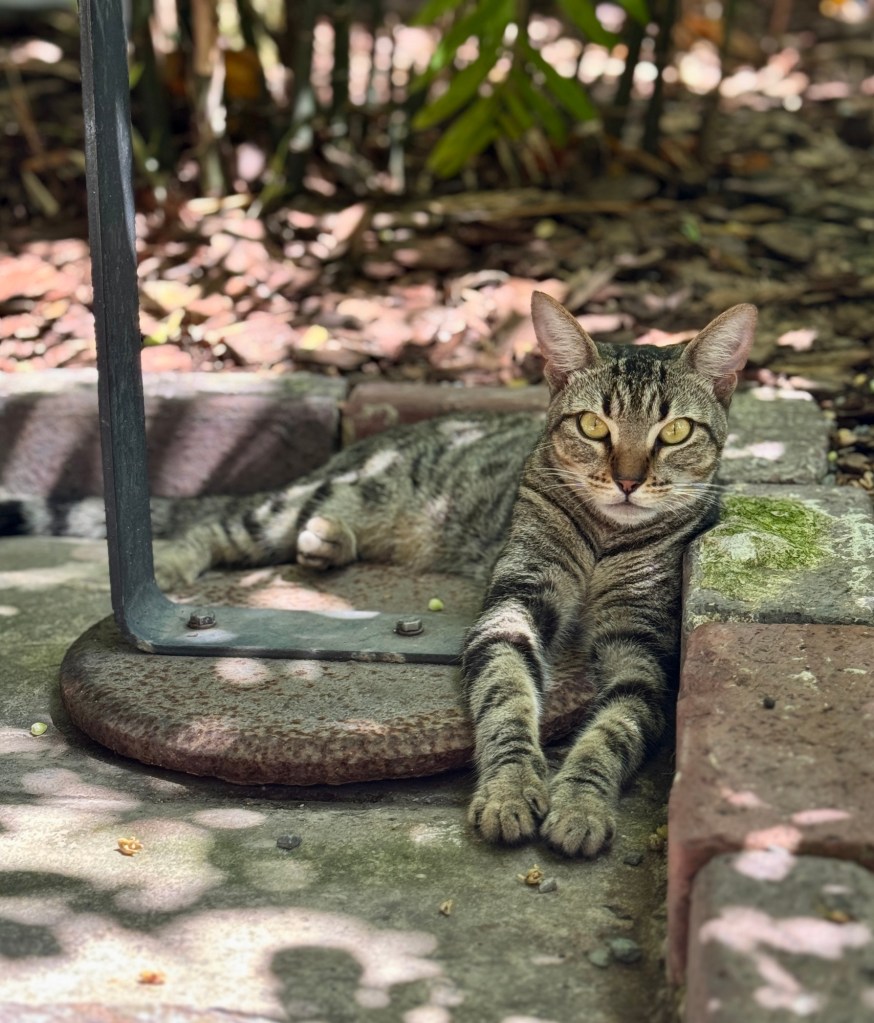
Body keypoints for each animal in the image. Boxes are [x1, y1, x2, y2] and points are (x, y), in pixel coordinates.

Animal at [0, 293, 756, 856]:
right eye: (593, 427)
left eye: (675, 433)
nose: (627, 480)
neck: (605, 538)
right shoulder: (514, 602)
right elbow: (507, 698)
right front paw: (511, 789)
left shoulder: (645, 648)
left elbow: (614, 727)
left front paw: (580, 802)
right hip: (302, 503)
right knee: (215, 527)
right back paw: (196, 563)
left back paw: (327, 543)